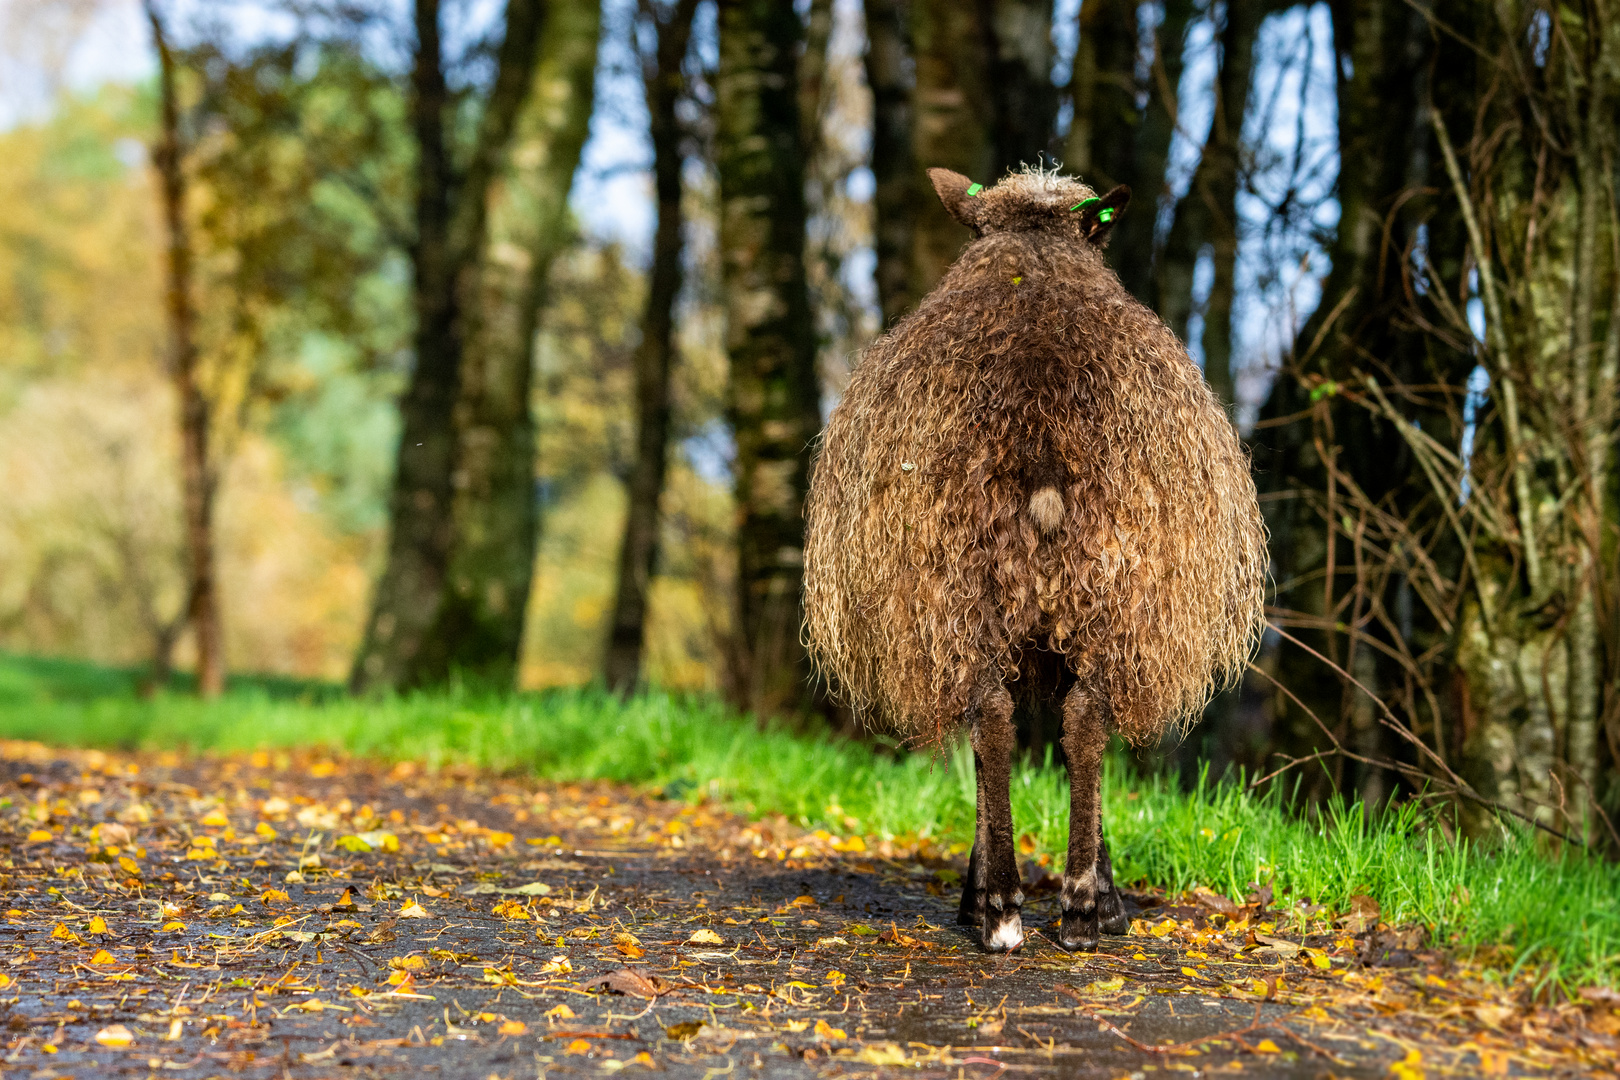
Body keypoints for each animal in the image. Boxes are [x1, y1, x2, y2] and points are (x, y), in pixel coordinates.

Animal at [803, 166, 1270, 952]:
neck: (1034, 251)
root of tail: (1041, 419)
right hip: (1082, 585)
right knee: (1054, 720)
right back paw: (1055, 908)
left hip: (983, 583)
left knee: (1010, 717)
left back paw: (1020, 906)